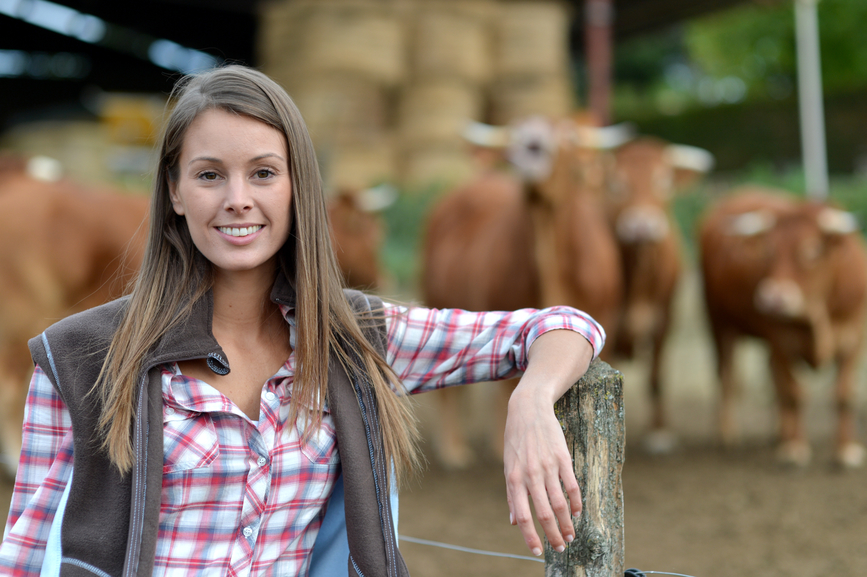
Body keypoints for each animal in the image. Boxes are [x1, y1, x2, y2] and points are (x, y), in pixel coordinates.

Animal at [420, 117, 624, 468]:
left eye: (566, 138)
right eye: (516, 132)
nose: (532, 142)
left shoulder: (605, 313)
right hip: (437, 297)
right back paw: (453, 447)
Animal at [604, 137, 712, 452]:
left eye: (662, 181)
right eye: (617, 183)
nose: (642, 225)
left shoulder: (665, 317)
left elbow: (656, 376)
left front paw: (660, 432)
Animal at [700, 189, 867, 468]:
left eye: (811, 251)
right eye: (769, 251)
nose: (772, 298)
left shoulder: (853, 338)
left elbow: (843, 394)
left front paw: (845, 450)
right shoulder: (781, 341)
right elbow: (792, 393)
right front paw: (795, 448)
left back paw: (778, 433)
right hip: (718, 322)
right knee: (727, 375)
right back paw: (727, 433)